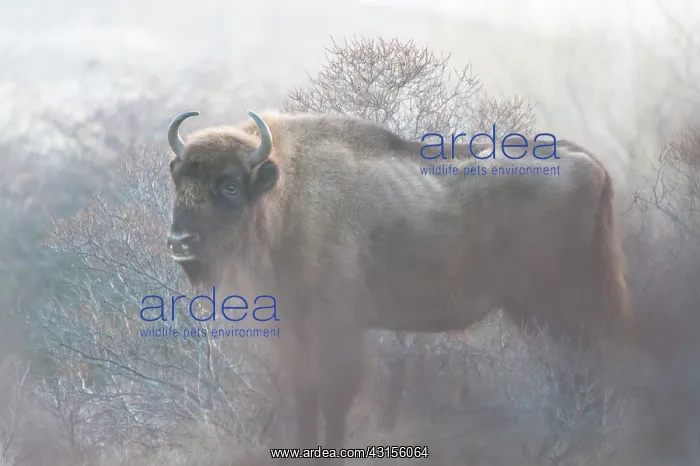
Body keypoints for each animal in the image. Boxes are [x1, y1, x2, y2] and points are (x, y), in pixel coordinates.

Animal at [165, 110, 631, 464]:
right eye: (180, 183)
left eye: (229, 184)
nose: (179, 242)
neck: (287, 194)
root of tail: (588, 162)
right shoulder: (294, 331)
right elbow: (305, 397)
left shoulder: (336, 329)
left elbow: (334, 398)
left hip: (563, 306)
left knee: (585, 371)